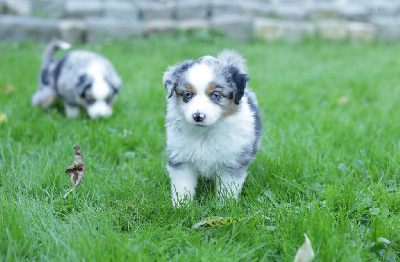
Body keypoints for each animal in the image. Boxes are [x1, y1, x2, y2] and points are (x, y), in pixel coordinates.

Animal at [162, 49, 262, 207]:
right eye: (187, 95)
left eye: (215, 95)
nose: (198, 116)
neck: (205, 133)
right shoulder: (181, 158)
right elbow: (183, 185)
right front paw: (182, 206)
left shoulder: (232, 161)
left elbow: (228, 188)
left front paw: (225, 206)